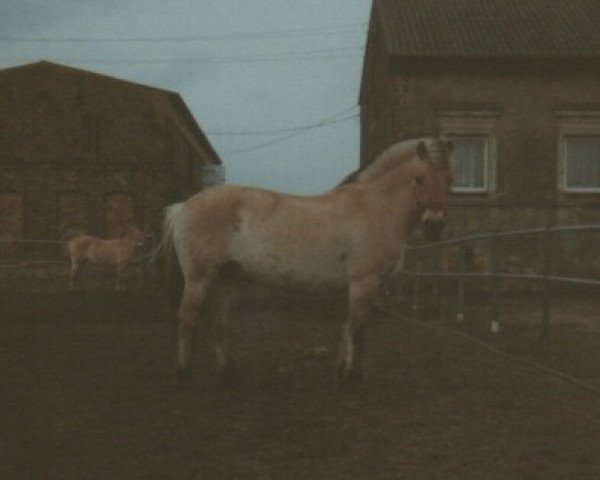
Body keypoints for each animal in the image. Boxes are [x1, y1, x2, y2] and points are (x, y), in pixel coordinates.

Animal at [162, 137, 452, 384]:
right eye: (418, 178)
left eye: (450, 179)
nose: (434, 226)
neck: (373, 208)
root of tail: (184, 206)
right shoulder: (364, 282)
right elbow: (358, 329)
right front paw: (352, 379)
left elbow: (348, 326)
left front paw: (341, 372)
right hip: (199, 277)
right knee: (187, 320)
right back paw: (183, 375)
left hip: (226, 279)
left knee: (219, 323)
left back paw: (228, 374)